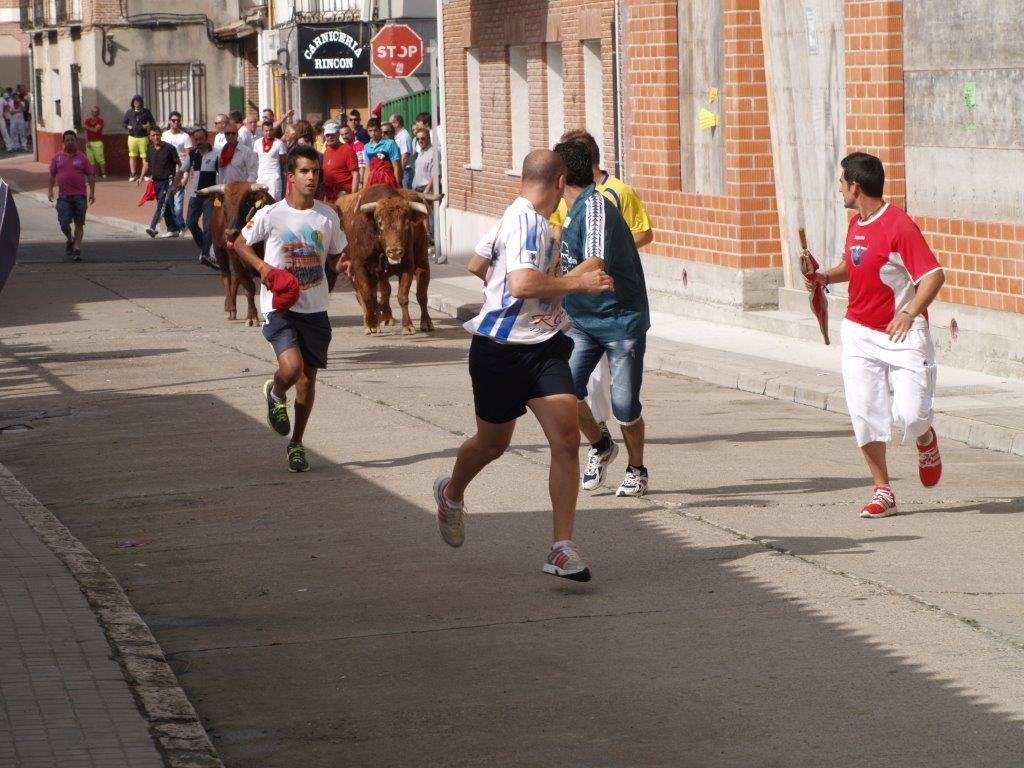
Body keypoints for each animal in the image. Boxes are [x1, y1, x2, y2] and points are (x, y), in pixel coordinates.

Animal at [333, 185, 434, 335]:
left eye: (406, 223)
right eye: (380, 223)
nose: (395, 251)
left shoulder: (408, 266)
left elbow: (403, 296)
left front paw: (407, 326)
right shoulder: (359, 267)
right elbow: (367, 295)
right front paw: (371, 324)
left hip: (421, 262)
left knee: (420, 294)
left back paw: (425, 322)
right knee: (364, 295)